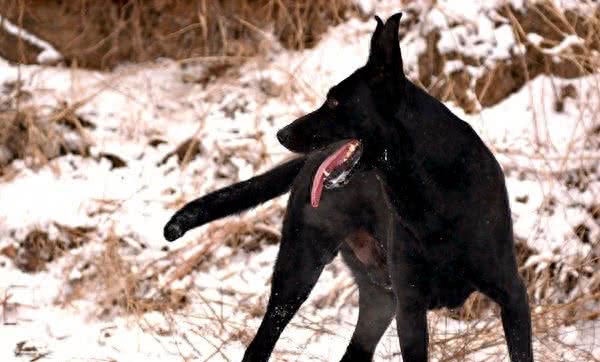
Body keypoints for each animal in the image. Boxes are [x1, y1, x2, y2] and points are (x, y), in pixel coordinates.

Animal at [165, 12, 536, 360]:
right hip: (299, 271)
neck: (433, 191)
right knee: (260, 345)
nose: (281, 134)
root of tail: (310, 163)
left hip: (378, 299)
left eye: (334, 101)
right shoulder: (411, 309)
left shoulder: (513, 296)